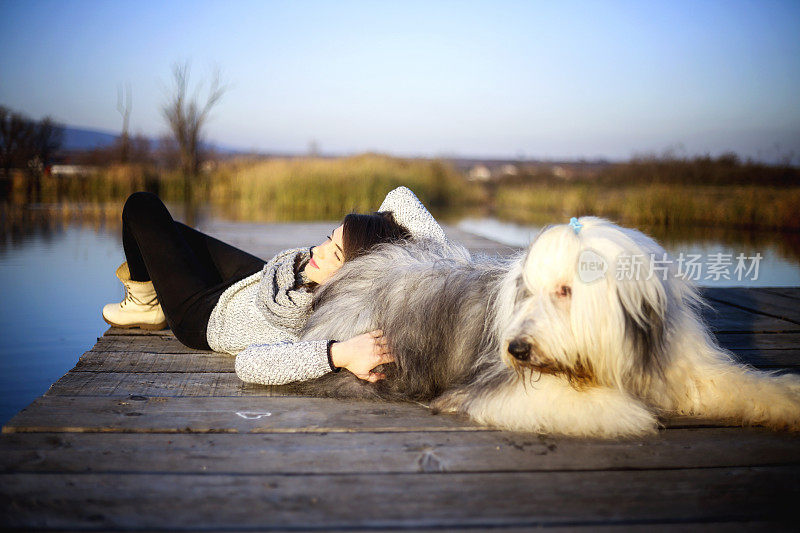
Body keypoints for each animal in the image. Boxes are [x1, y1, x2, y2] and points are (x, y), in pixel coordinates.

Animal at [290, 216, 800, 436]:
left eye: (565, 291)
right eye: (526, 292)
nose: (516, 349)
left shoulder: (676, 359)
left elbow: (728, 383)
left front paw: (787, 401)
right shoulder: (499, 389)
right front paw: (632, 413)